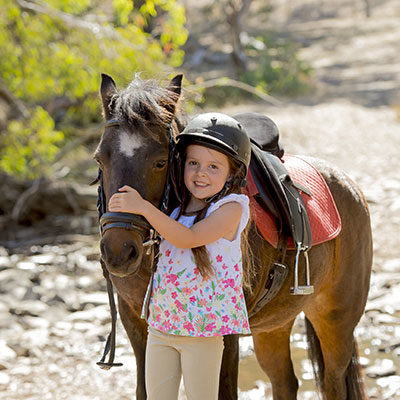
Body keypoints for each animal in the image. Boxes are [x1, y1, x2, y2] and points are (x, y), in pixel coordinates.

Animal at [94, 72, 372, 400]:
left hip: (336, 320)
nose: (119, 252)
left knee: (332, 382)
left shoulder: (225, 335)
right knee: (285, 381)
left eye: (161, 161)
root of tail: (349, 186)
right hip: (275, 325)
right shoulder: (135, 323)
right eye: (100, 160)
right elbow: (144, 389)